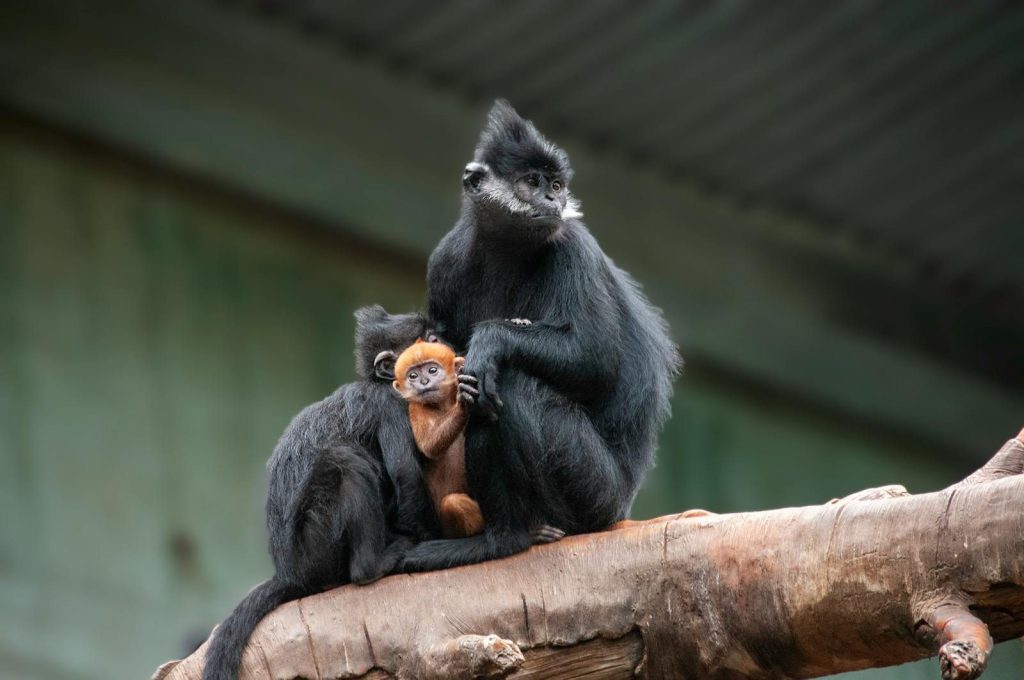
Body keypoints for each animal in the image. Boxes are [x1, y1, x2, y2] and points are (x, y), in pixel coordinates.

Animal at [202, 306, 440, 680]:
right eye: (428, 344)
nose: (444, 343)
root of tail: (290, 571)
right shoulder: (391, 405)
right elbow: (405, 473)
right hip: (317, 544)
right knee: (346, 461)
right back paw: (371, 566)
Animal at [392, 339, 483, 539]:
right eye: (413, 375)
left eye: (432, 370)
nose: (424, 382)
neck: (443, 405)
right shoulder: (416, 408)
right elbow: (429, 446)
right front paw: (462, 404)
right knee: (452, 503)